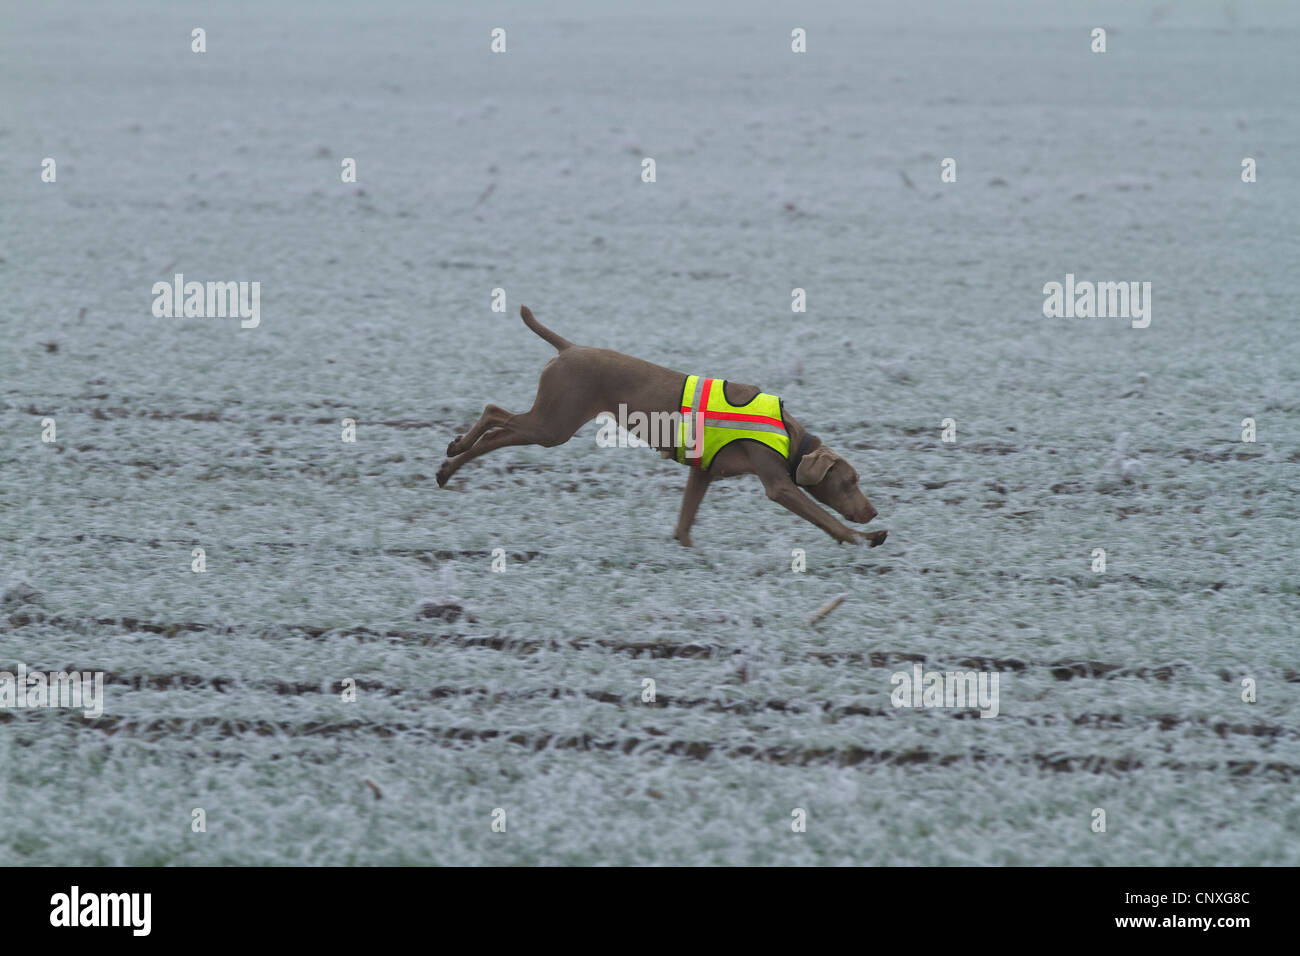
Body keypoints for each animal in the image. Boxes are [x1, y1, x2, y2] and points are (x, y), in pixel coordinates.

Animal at [436, 303, 883, 548]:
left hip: (551, 421)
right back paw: (452, 458)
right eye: (850, 481)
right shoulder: (779, 486)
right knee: (495, 414)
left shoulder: (702, 472)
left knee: (497, 421)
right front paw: (862, 540)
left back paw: (450, 461)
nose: (873, 511)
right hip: (553, 424)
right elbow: (823, 516)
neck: (791, 438)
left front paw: (690, 551)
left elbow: (685, 520)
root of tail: (569, 348)